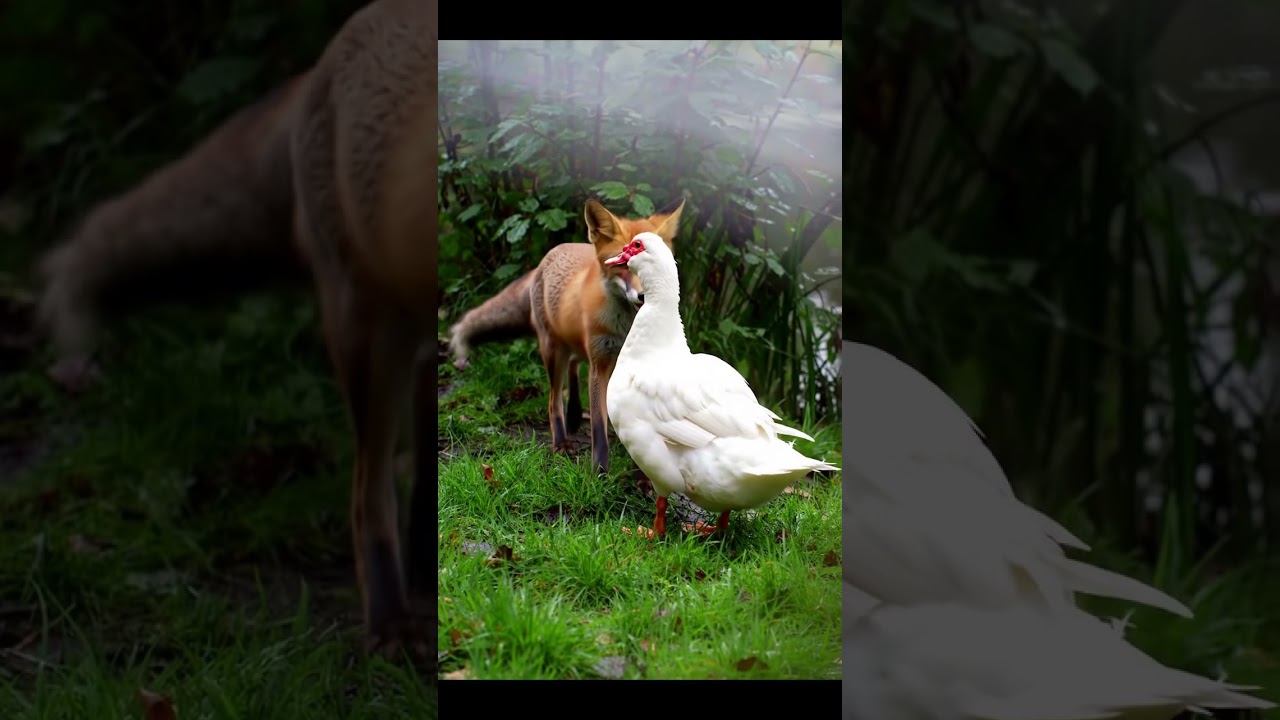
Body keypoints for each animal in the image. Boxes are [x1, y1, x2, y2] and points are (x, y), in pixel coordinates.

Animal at [449, 197, 685, 476]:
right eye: (621, 265)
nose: (643, 296)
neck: (627, 328)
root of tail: (550, 254)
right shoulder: (600, 364)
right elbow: (598, 427)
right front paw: (599, 472)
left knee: (573, 365)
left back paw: (574, 412)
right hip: (553, 351)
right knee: (553, 400)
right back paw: (561, 441)